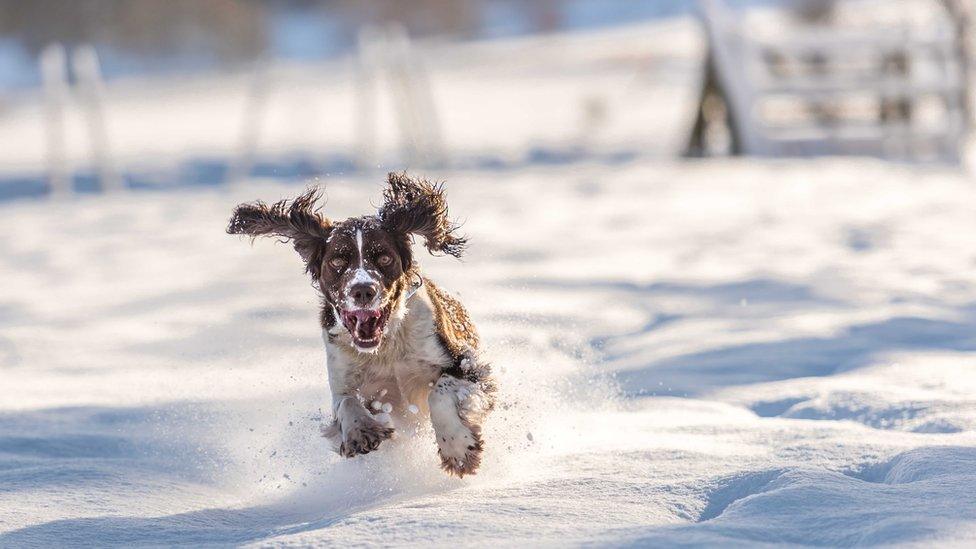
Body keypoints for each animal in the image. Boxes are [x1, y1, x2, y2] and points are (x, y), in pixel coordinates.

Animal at [228, 172, 496, 476]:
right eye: (337, 260)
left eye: (384, 257)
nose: (363, 290)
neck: (386, 346)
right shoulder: (345, 377)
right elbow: (346, 402)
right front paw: (360, 433)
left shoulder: (465, 364)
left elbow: (439, 394)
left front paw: (458, 448)